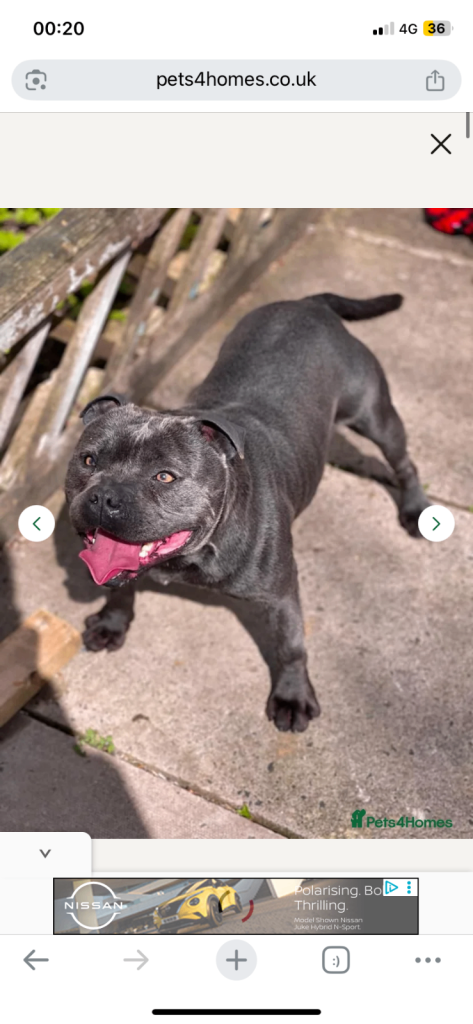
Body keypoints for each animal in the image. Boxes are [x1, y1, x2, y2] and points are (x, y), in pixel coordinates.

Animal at [65, 292, 430, 732]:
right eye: (88, 460)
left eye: (165, 476)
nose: (105, 497)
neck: (194, 553)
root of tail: (310, 304)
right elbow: (122, 589)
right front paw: (111, 624)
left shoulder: (281, 593)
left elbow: (291, 644)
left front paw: (292, 696)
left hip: (375, 416)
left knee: (404, 462)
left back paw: (415, 509)